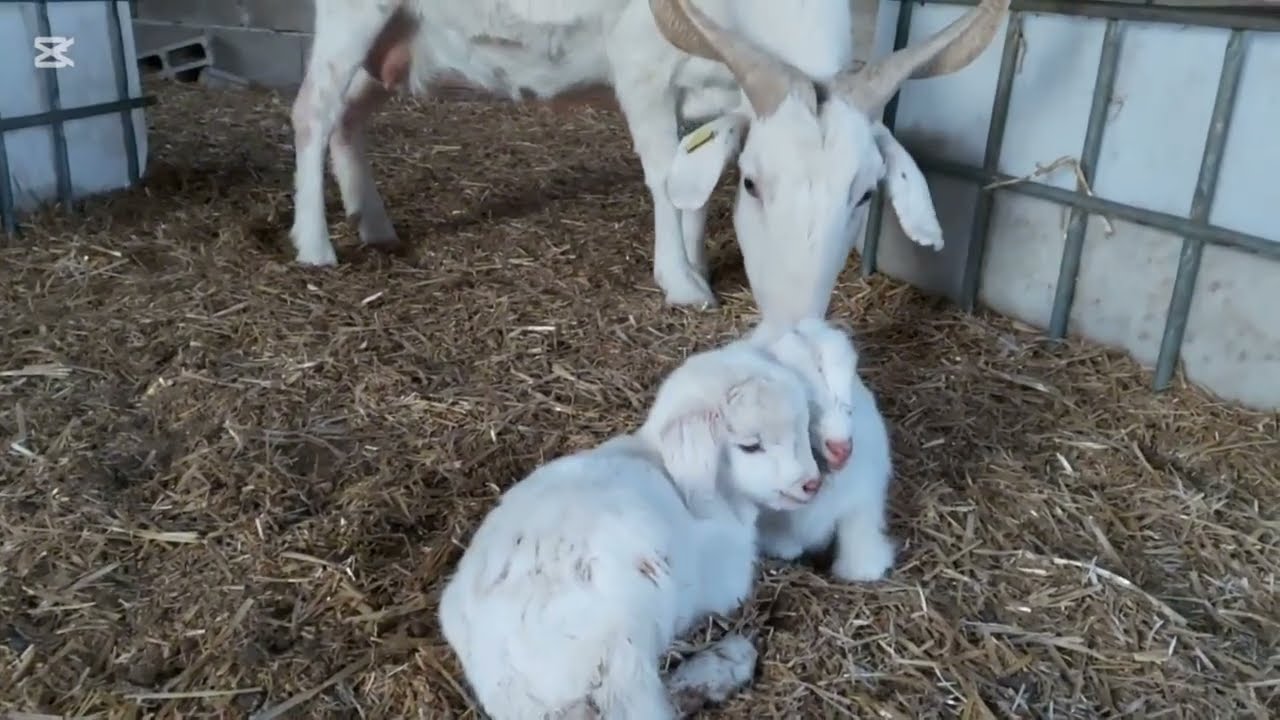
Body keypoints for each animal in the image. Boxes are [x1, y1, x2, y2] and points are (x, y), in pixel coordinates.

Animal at [289, 0, 1009, 318]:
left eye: (864, 194)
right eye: (754, 185)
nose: (795, 318)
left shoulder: (714, 92)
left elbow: (695, 187)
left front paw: (696, 263)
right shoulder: (641, 70)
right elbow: (666, 178)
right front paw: (681, 283)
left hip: (394, 43)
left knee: (348, 119)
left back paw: (374, 225)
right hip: (351, 16)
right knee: (311, 113)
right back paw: (315, 245)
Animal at [437, 340, 822, 718]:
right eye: (750, 446)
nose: (811, 484)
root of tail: (506, 670)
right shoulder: (725, 586)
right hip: (621, 651)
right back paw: (728, 661)